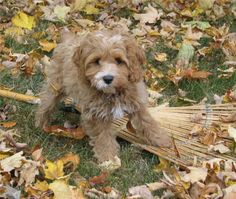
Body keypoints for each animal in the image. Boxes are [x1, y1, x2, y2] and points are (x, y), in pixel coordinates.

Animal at [36, 29, 173, 163]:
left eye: (119, 61)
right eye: (97, 61)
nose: (107, 78)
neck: (113, 92)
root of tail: (68, 39)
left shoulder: (136, 101)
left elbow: (147, 121)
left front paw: (162, 140)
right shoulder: (96, 114)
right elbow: (103, 136)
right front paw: (108, 158)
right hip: (56, 85)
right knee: (46, 102)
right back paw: (41, 124)